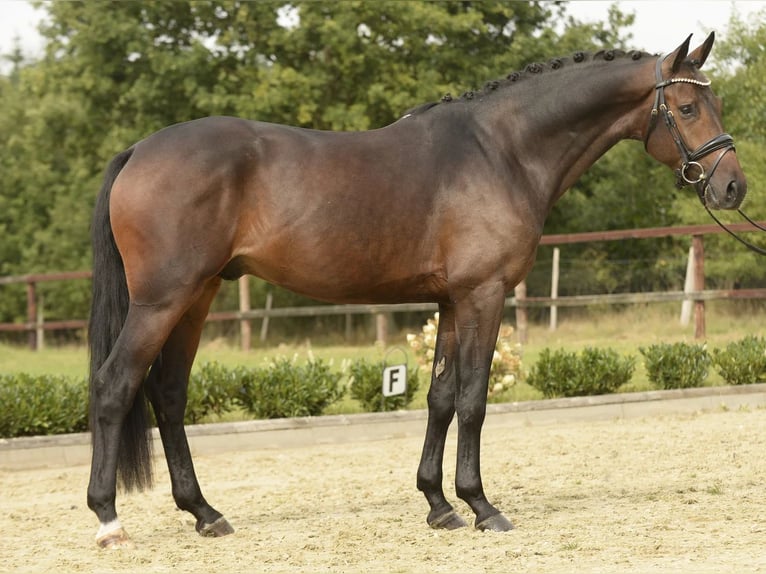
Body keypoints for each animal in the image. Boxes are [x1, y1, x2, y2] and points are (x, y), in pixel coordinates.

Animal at [87, 33, 746, 548]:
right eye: (688, 106)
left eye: (711, 100)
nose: (733, 187)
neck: (502, 150)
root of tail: (139, 150)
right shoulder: (484, 295)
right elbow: (474, 400)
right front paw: (482, 506)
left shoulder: (451, 301)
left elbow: (440, 398)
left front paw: (439, 505)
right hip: (162, 302)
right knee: (116, 386)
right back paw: (109, 520)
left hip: (195, 299)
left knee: (169, 395)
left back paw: (205, 513)